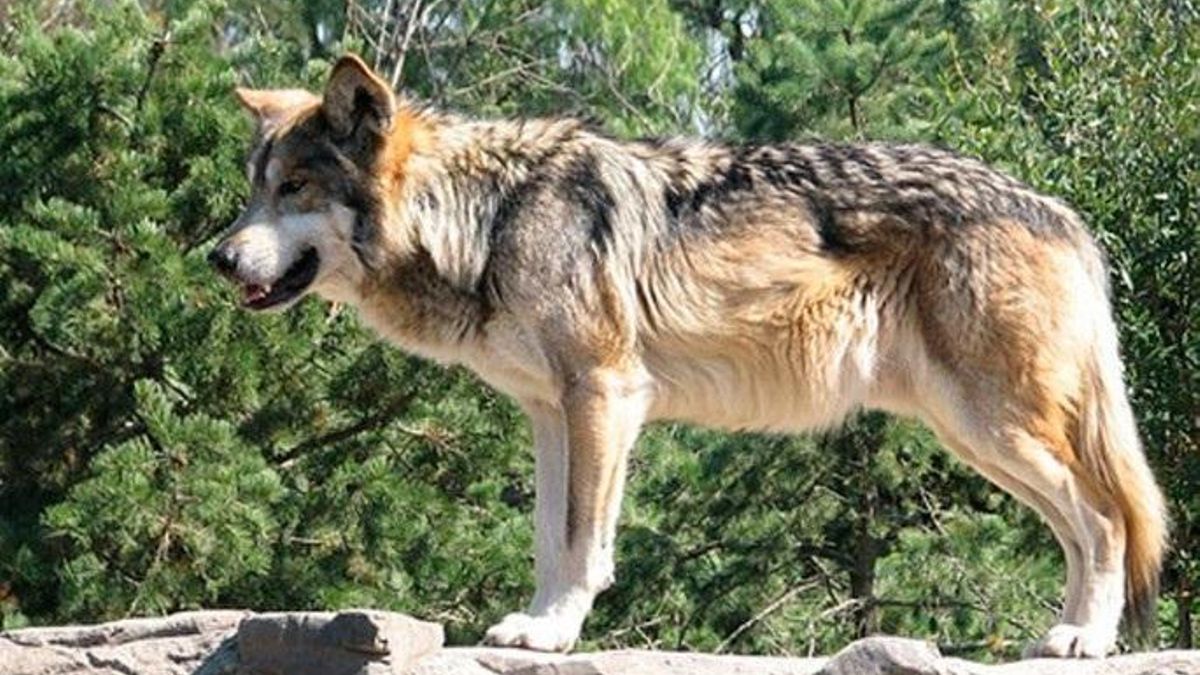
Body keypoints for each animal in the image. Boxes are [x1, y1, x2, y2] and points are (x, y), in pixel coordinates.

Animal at [209, 54, 1167, 657]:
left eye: (295, 187)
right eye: (253, 190)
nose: (216, 258)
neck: (487, 216)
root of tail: (1061, 210)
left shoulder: (604, 394)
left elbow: (582, 541)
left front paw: (554, 632)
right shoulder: (551, 411)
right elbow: (548, 540)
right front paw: (531, 625)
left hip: (990, 423)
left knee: (1108, 519)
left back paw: (1084, 639)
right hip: (976, 434)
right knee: (1089, 526)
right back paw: (1065, 635)